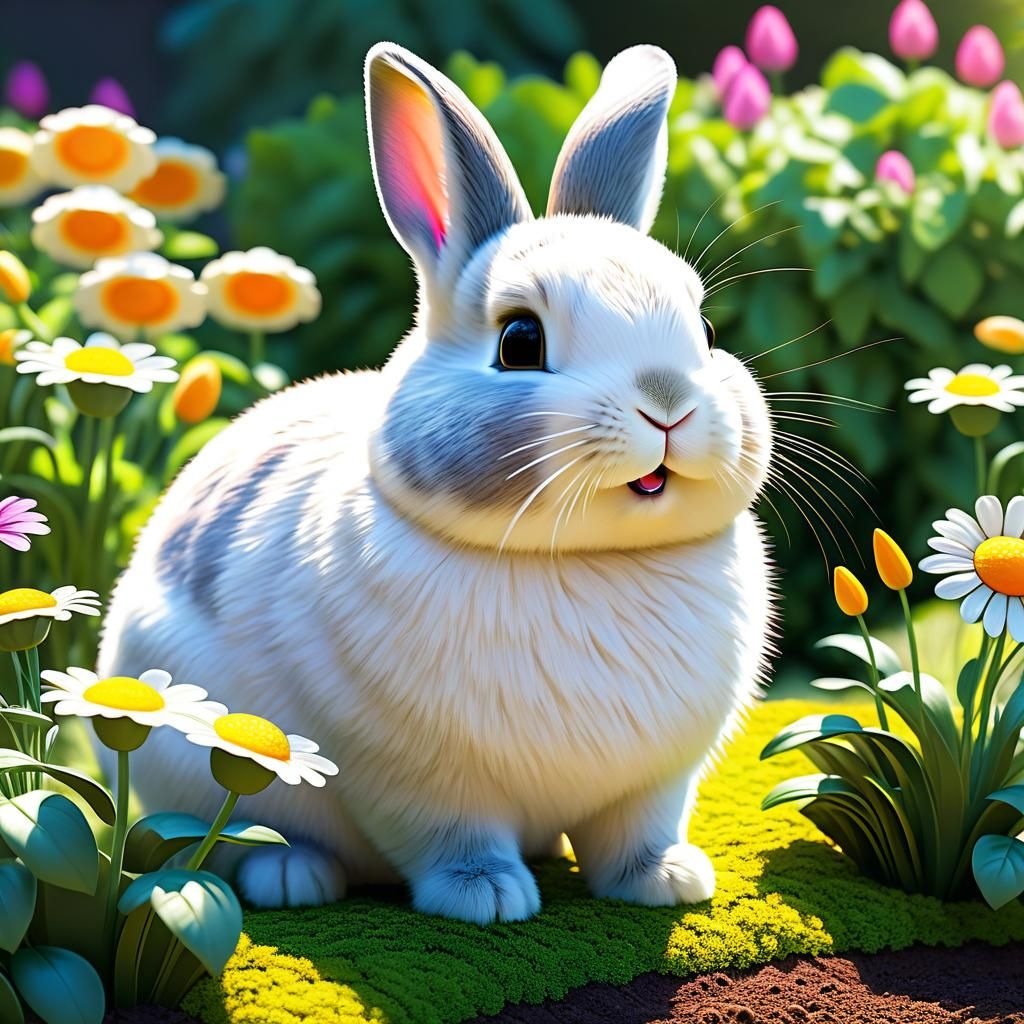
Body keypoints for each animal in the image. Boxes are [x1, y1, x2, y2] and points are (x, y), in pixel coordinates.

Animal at [96, 41, 775, 924]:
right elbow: (451, 836)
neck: (580, 561)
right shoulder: (417, 779)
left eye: (704, 327)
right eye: (520, 341)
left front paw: (666, 881)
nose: (668, 402)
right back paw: (291, 876)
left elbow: (638, 832)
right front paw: (486, 896)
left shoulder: (655, 782)